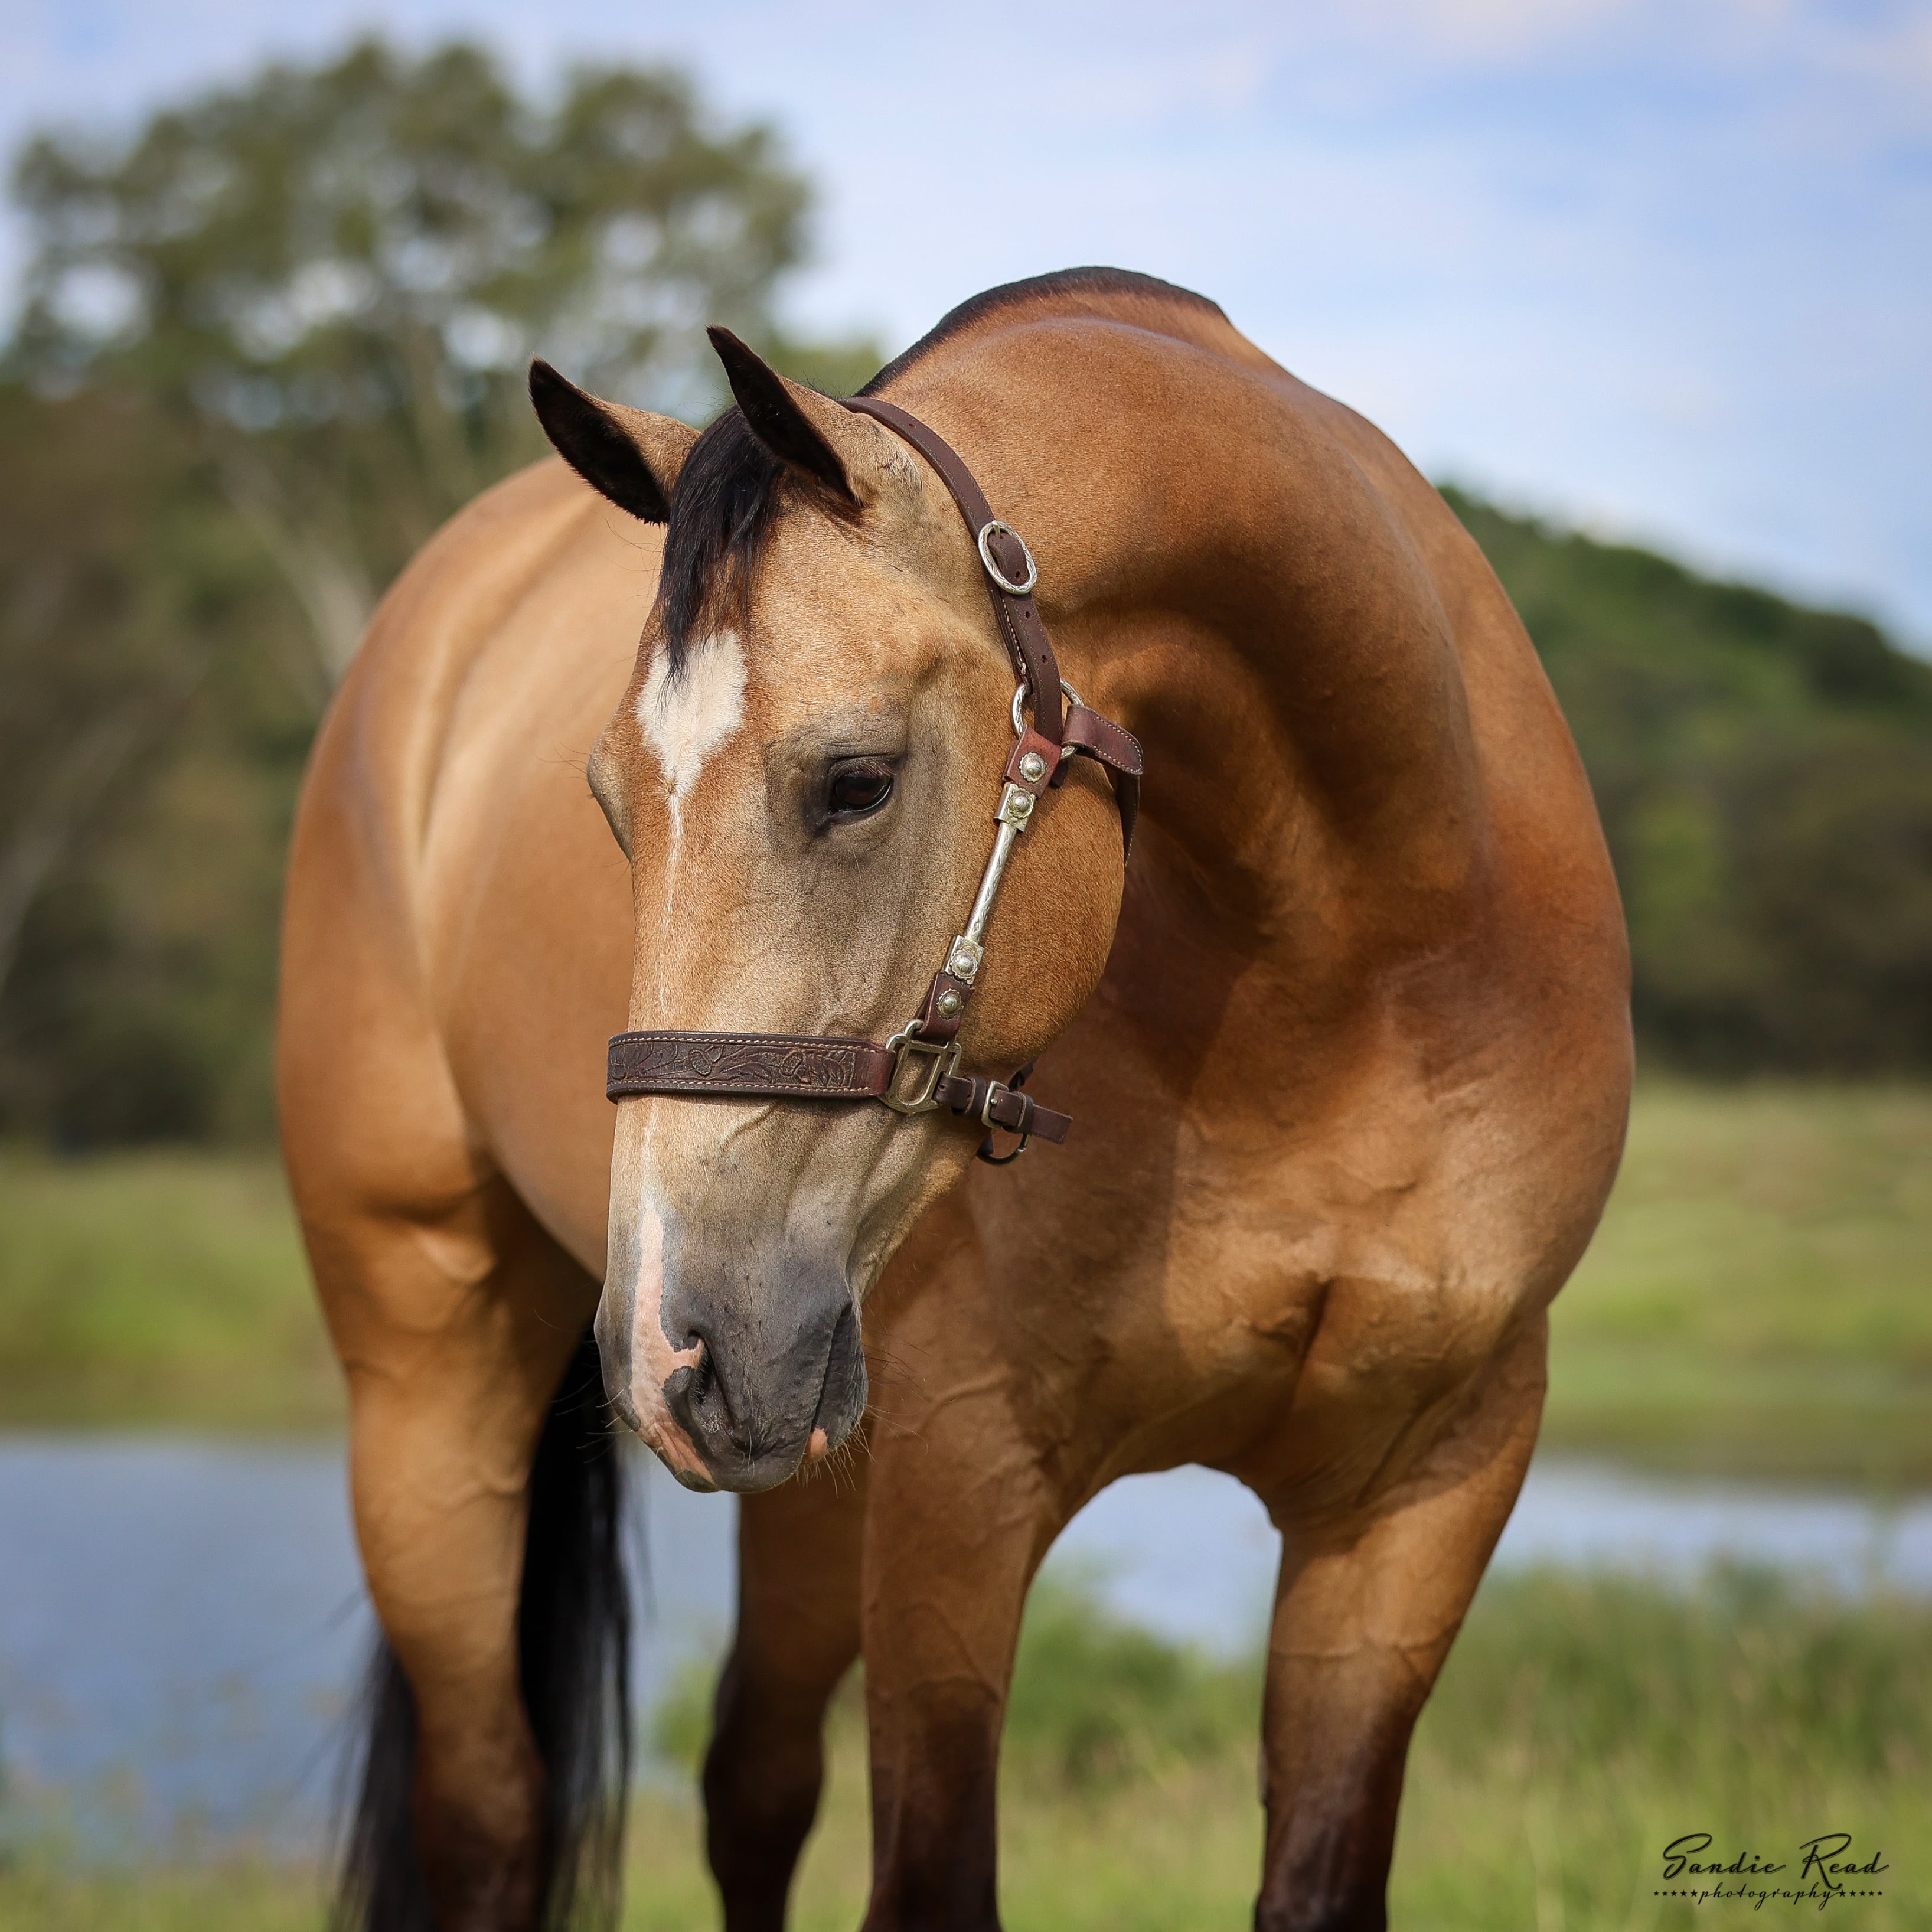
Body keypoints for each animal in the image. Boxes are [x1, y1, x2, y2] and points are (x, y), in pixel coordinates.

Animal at [278, 266, 1630, 1932]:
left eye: (855, 780)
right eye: (612, 804)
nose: (667, 1338)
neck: (1354, 972)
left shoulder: (1426, 1485)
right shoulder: (962, 1486)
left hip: (792, 1449)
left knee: (751, 1782)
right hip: (433, 1372)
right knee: (490, 1816)